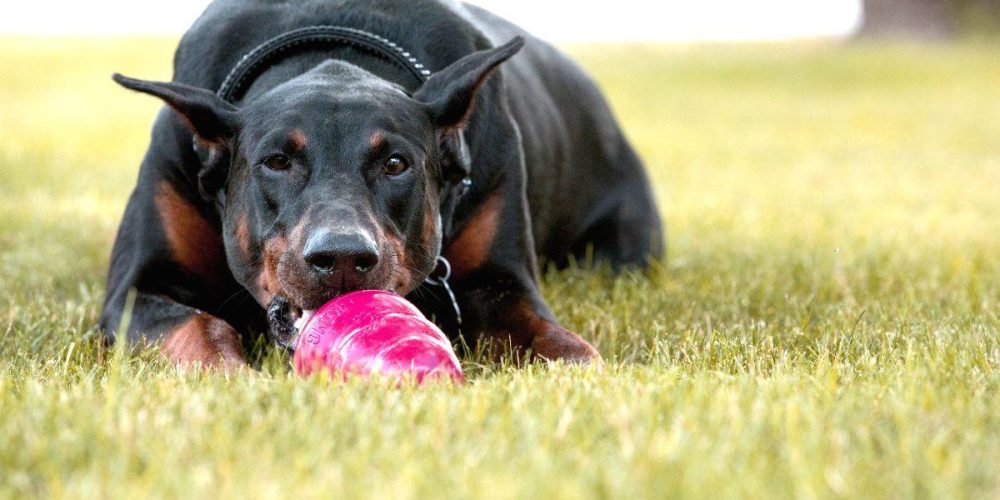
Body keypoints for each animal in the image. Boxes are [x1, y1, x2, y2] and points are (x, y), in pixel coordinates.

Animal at [99, 0, 664, 368]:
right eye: (276, 162)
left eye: (396, 164)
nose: (343, 258)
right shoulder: (135, 289)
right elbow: (201, 326)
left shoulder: (502, 281)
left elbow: (550, 336)